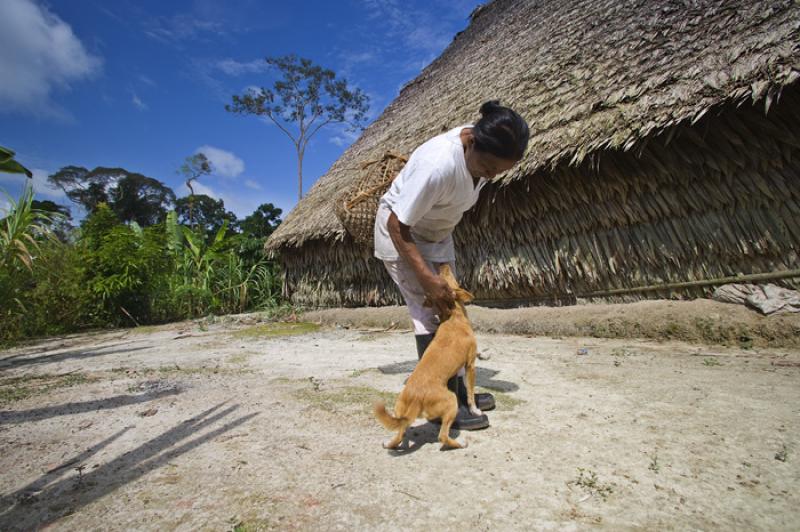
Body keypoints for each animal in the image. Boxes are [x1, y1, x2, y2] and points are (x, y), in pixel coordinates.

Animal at [376, 264, 482, 450]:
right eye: (445, 276)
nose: (442, 264)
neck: (452, 316)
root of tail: (416, 397)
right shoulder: (470, 365)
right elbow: (470, 392)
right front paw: (474, 410)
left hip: (400, 409)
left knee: (399, 434)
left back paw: (389, 443)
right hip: (451, 400)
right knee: (442, 436)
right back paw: (461, 443)